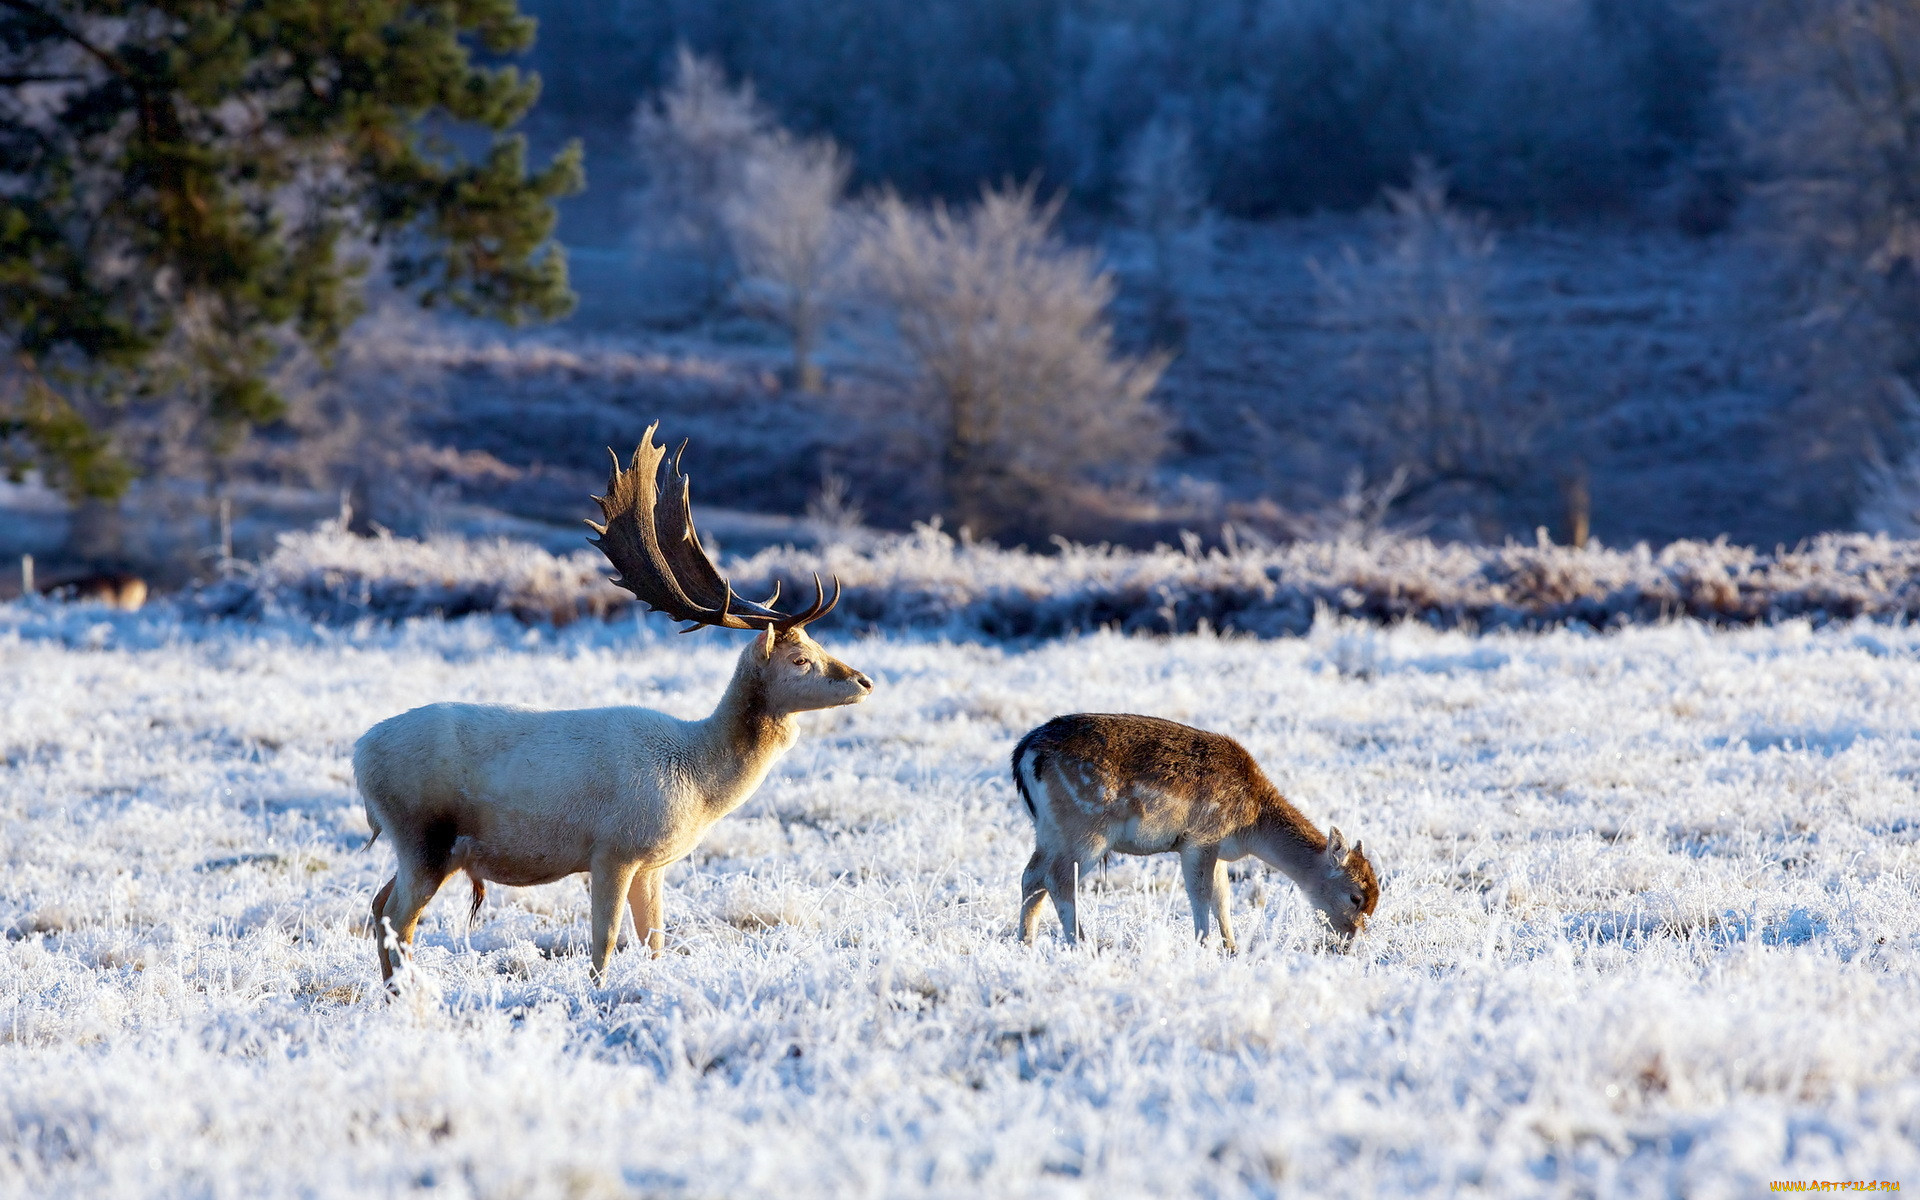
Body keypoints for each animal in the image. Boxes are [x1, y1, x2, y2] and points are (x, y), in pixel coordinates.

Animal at [357, 426, 875, 990]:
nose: (865, 681)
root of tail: (360, 755)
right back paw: (404, 993)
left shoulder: (653, 863)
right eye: (801, 659)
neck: (698, 779)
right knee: (397, 916)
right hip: (424, 835)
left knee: (377, 905)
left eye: (819, 644)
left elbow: (655, 941)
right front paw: (596, 994)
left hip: (425, 847)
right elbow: (603, 942)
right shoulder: (613, 849)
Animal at [1006, 714, 1382, 948]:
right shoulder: (1201, 837)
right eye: (1356, 896)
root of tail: (1024, 753)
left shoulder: (1217, 850)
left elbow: (1222, 897)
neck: (1250, 826)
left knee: (1031, 876)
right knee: (1058, 879)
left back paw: (1024, 942)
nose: (1351, 939)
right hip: (1086, 830)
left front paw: (1232, 947)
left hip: (1048, 830)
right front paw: (1205, 944)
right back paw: (1082, 943)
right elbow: (1200, 893)